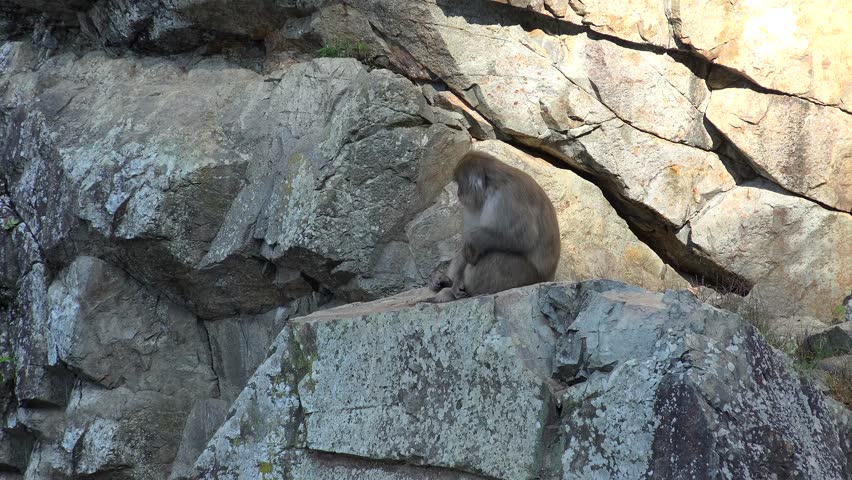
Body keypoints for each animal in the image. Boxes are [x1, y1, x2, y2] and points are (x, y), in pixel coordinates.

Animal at [428, 150, 560, 303]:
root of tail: (549, 278)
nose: (458, 193)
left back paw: (458, 293)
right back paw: (447, 282)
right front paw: (451, 279)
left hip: (526, 276)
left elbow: (524, 236)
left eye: (461, 183)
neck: (492, 184)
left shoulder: (507, 197)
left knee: (496, 257)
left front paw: (472, 241)